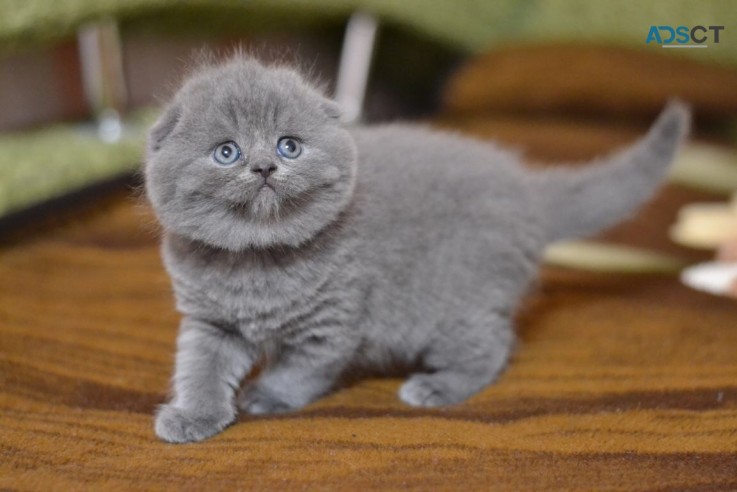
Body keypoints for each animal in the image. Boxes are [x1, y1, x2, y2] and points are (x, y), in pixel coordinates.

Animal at [145, 55, 688, 444]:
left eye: (288, 146)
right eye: (227, 152)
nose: (262, 167)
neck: (258, 257)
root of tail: (526, 191)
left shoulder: (331, 321)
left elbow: (305, 367)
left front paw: (269, 395)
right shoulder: (209, 320)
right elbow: (199, 367)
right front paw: (193, 416)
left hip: (456, 303)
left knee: (493, 346)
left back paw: (437, 385)